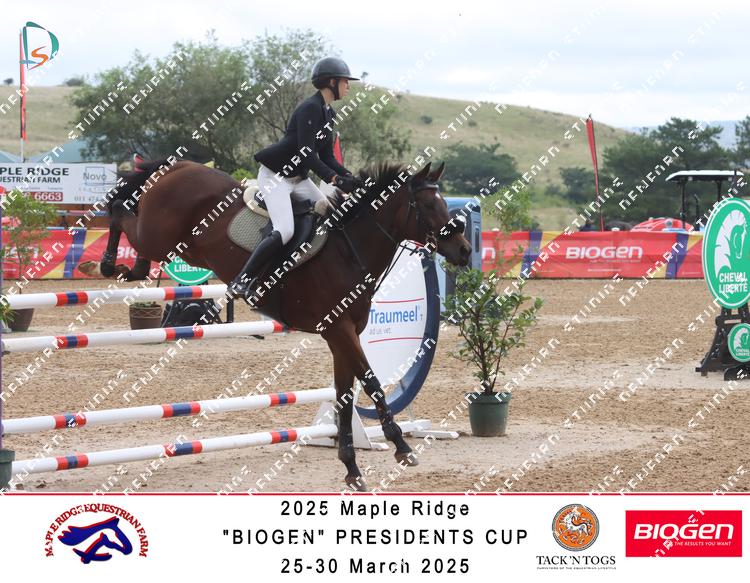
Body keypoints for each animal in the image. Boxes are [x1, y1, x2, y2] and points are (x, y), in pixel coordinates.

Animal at [86, 159, 471, 490]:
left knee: (136, 237)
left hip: (179, 246)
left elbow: (346, 397)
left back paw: (129, 268)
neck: (348, 250)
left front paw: (351, 467)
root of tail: (180, 165)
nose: (465, 250)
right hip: (159, 234)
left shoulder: (341, 337)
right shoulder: (340, 331)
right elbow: (372, 383)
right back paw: (106, 263)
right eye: (428, 205)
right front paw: (401, 447)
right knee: (120, 211)